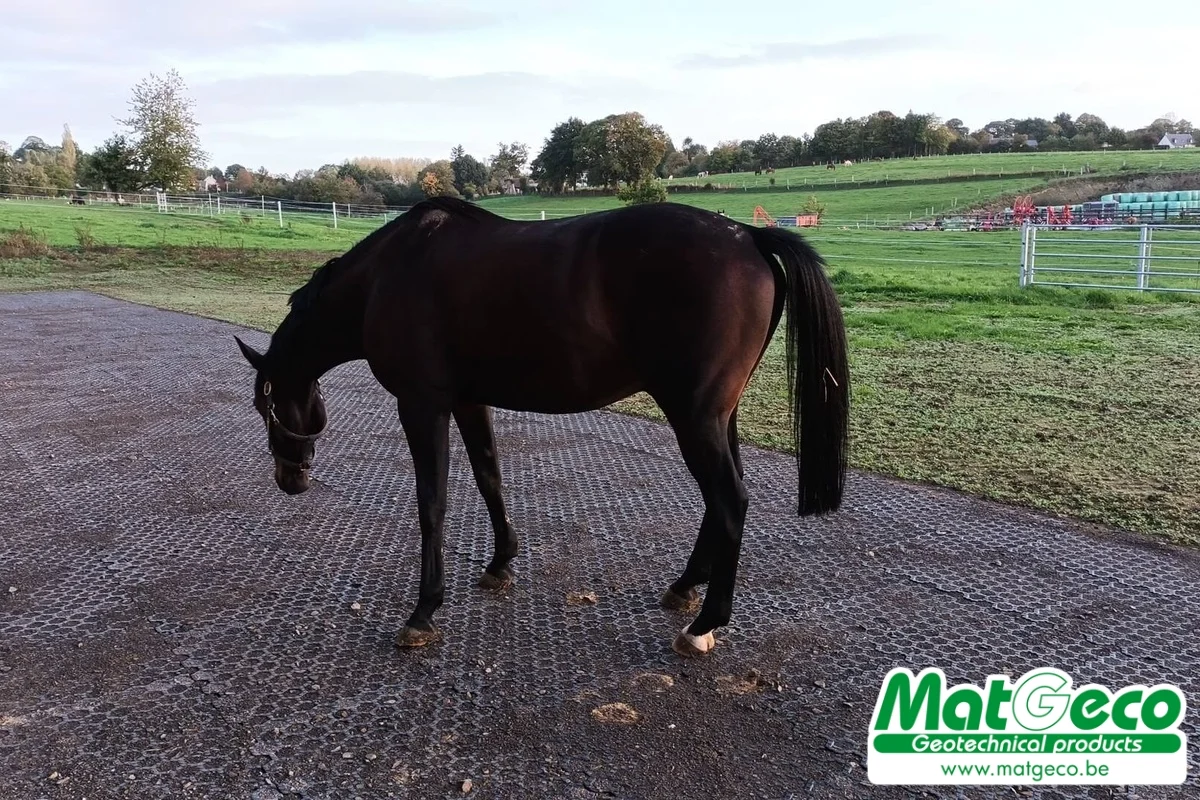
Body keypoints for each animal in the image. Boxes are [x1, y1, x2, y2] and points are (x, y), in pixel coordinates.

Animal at [234, 197, 849, 658]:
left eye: (266, 407)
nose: (289, 479)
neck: (387, 275)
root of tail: (748, 237)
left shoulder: (421, 405)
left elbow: (432, 503)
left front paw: (423, 611)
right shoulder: (469, 402)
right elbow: (490, 478)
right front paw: (500, 563)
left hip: (694, 416)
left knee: (730, 501)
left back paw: (704, 625)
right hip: (718, 415)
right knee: (722, 501)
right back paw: (684, 588)